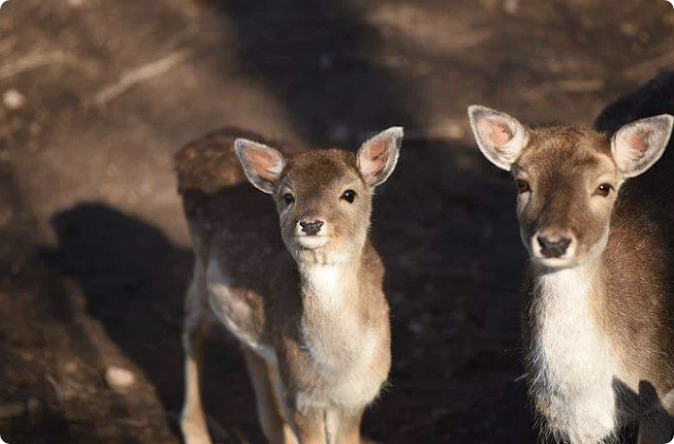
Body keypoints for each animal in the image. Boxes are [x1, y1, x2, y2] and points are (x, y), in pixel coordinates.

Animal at [173, 126, 403, 444]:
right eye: (288, 196)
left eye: (349, 194)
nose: (310, 223)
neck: (337, 370)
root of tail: (187, 150)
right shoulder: (300, 394)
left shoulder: (357, 397)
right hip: (201, 264)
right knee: (193, 325)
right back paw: (196, 432)